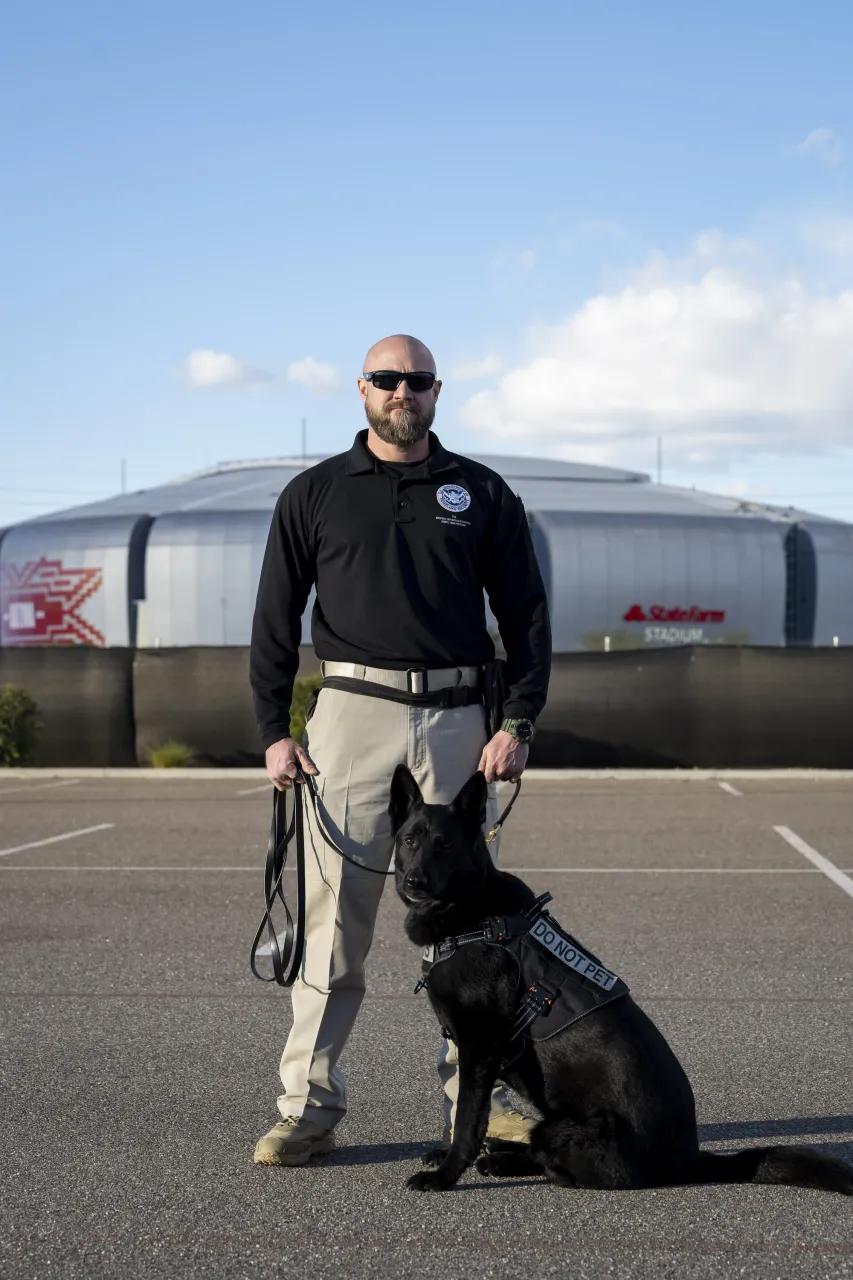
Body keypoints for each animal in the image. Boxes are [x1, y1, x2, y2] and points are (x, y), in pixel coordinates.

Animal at [386, 768, 850, 1198]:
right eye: (410, 840)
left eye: (445, 845)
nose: (415, 881)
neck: (472, 913)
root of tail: (691, 1159)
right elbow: (468, 1114)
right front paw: (450, 1156)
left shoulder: (479, 1047)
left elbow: (468, 1117)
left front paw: (446, 1174)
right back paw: (499, 1153)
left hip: (568, 1131)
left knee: (557, 1164)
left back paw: (500, 1159)